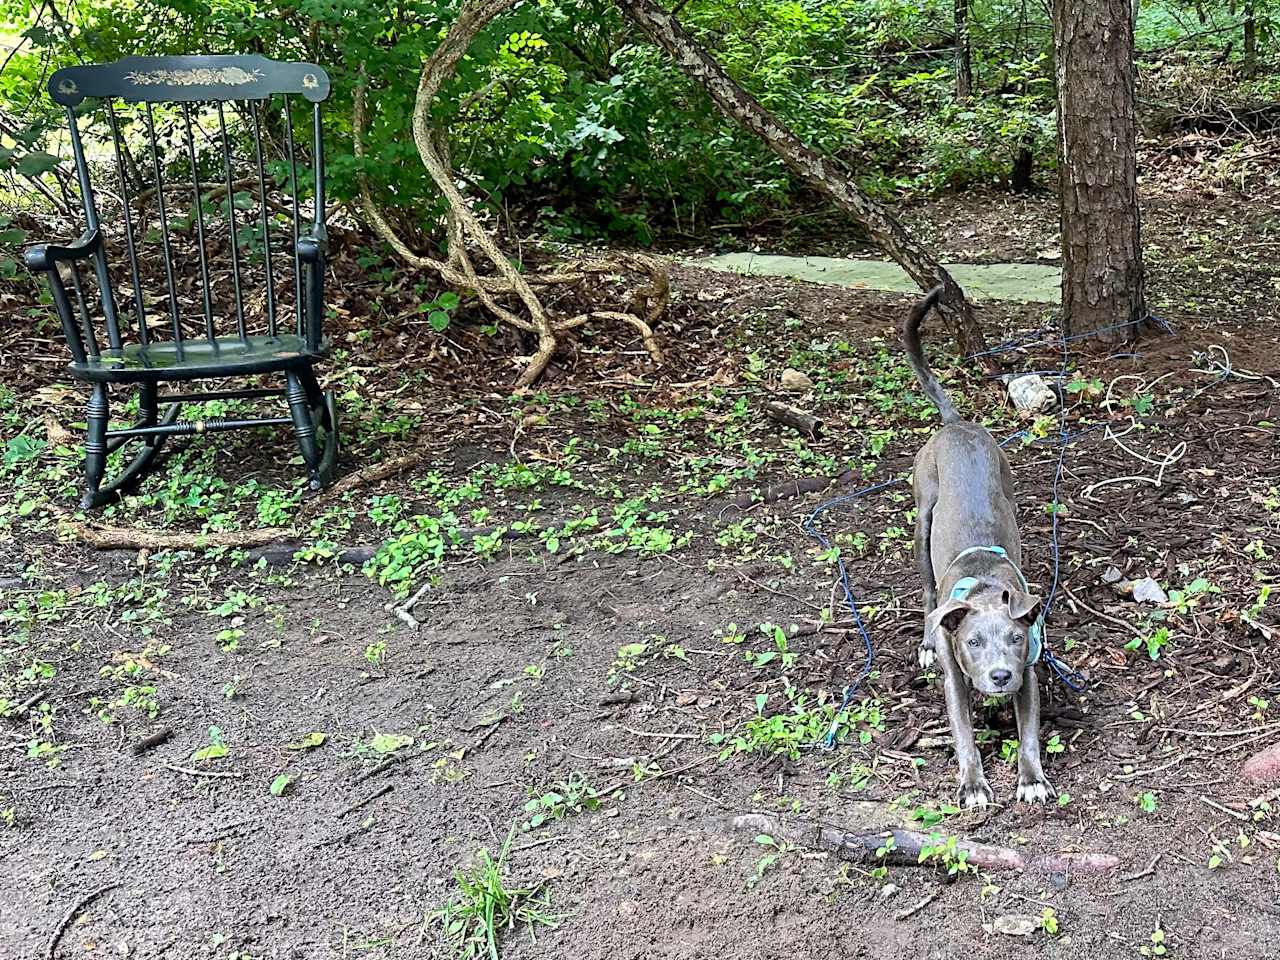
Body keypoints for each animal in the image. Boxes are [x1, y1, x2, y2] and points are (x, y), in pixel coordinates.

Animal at [901, 288, 1049, 814]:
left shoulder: (1030, 673)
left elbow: (1029, 736)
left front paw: (1031, 779)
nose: (1000, 676)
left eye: (1016, 638)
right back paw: (925, 640)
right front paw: (974, 786)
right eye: (972, 642)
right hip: (922, 517)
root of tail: (957, 423)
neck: (984, 588)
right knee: (927, 592)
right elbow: (964, 734)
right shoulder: (955, 681)